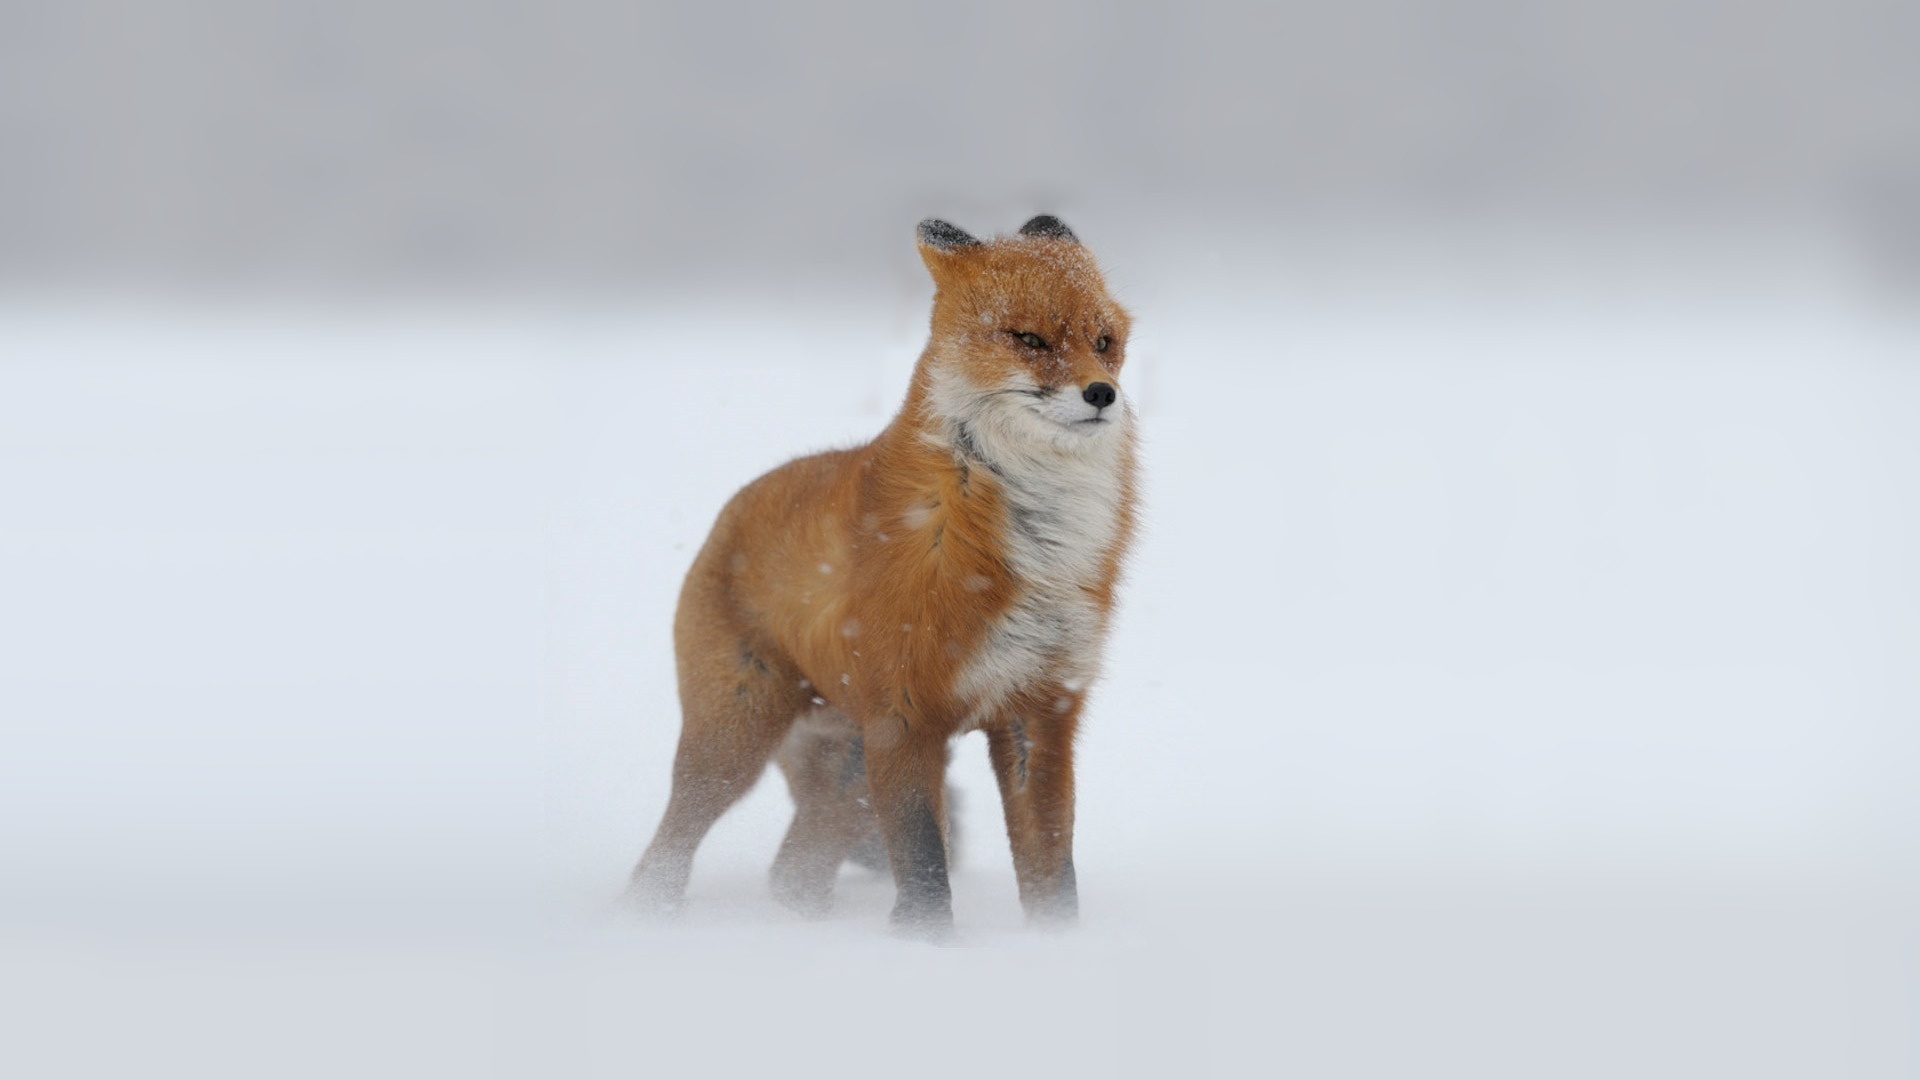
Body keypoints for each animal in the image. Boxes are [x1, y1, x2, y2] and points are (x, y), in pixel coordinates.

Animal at [628, 215, 1137, 937]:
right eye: (1030, 339)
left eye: (1104, 342)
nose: (1102, 393)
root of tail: (733, 507)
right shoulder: (904, 716)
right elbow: (923, 864)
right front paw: (926, 948)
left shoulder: (1039, 711)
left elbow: (1052, 868)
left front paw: (1056, 944)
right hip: (736, 741)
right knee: (666, 853)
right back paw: (650, 919)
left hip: (846, 767)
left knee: (793, 873)